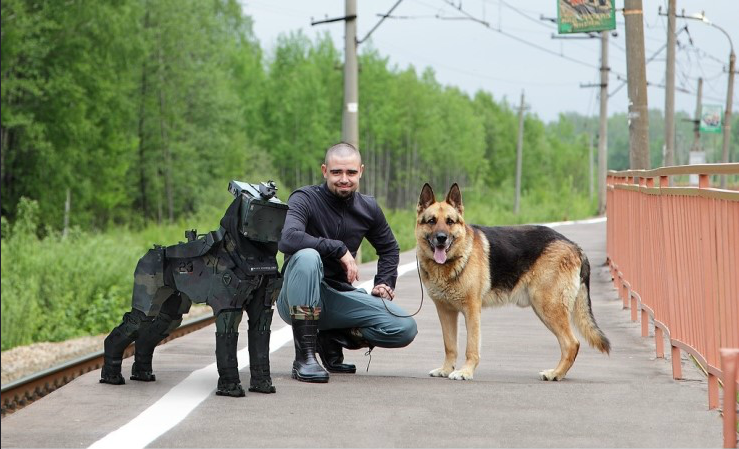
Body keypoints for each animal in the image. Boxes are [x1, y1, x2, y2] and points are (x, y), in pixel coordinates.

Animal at [420, 184, 608, 380]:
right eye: (432, 221)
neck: (454, 260)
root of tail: (574, 246)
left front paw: (465, 372)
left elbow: (471, 346)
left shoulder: (472, 311)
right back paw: (558, 373)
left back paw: (555, 374)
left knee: (572, 343)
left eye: (450, 221)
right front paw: (446, 369)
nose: (441, 238)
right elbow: (450, 346)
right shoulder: (445, 312)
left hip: (547, 306)